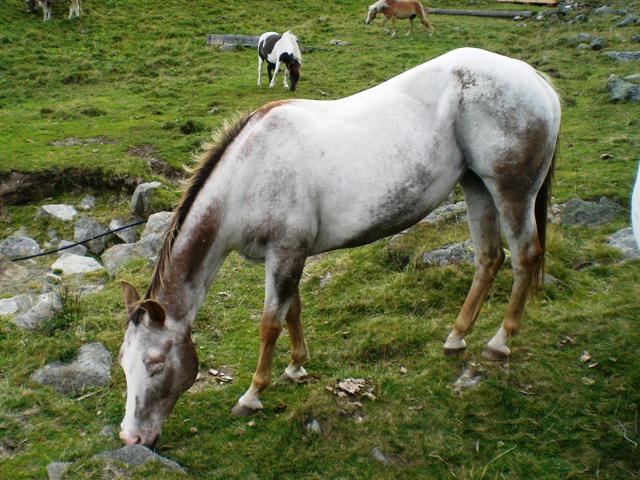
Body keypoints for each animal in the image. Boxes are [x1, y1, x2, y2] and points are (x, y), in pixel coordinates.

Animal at [117, 47, 556, 446]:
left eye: (155, 364)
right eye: (123, 362)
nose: (131, 437)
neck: (249, 174)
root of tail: (536, 80)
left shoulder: (285, 254)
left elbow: (270, 324)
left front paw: (253, 394)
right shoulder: (290, 255)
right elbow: (293, 309)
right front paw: (296, 367)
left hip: (511, 190)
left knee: (524, 258)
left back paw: (500, 343)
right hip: (476, 185)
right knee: (488, 258)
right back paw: (456, 337)